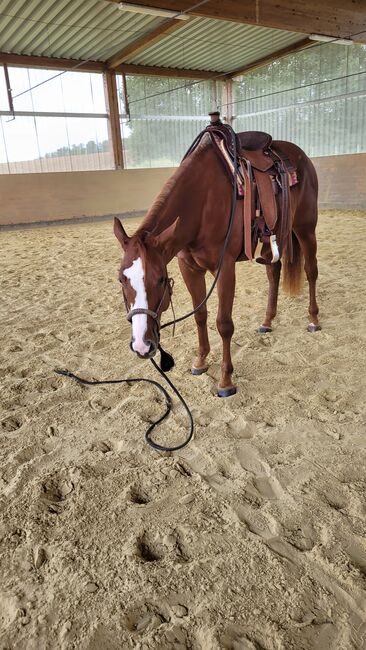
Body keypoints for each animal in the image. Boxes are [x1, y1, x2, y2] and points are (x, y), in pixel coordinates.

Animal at [113, 134, 318, 394]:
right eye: (121, 279)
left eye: (160, 279)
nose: (142, 345)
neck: (201, 203)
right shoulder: (189, 268)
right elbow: (200, 315)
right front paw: (200, 361)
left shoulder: (225, 268)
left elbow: (224, 323)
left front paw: (226, 380)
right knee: (274, 272)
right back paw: (267, 321)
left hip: (305, 228)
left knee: (311, 271)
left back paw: (313, 320)